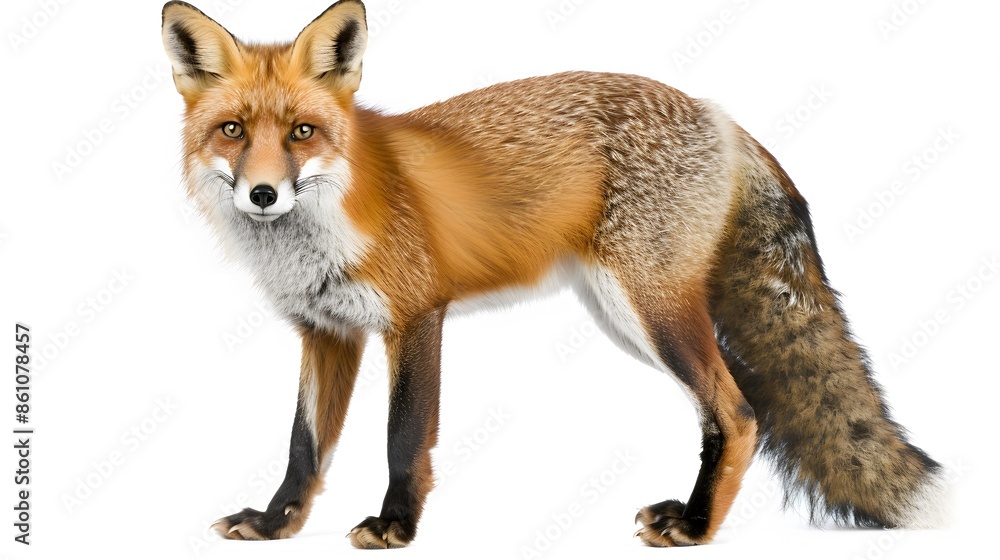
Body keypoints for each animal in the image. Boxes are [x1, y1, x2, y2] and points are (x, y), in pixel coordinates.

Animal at [161, 0, 947, 549]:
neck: (322, 228)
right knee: (724, 412)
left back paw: (696, 528)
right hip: (626, 318)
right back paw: (692, 513)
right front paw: (276, 525)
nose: (263, 194)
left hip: (649, 311)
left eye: (302, 132)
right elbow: (304, 446)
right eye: (233, 131)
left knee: (739, 411)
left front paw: (395, 527)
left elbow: (403, 436)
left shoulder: (416, 316)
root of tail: (719, 115)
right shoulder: (327, 332)